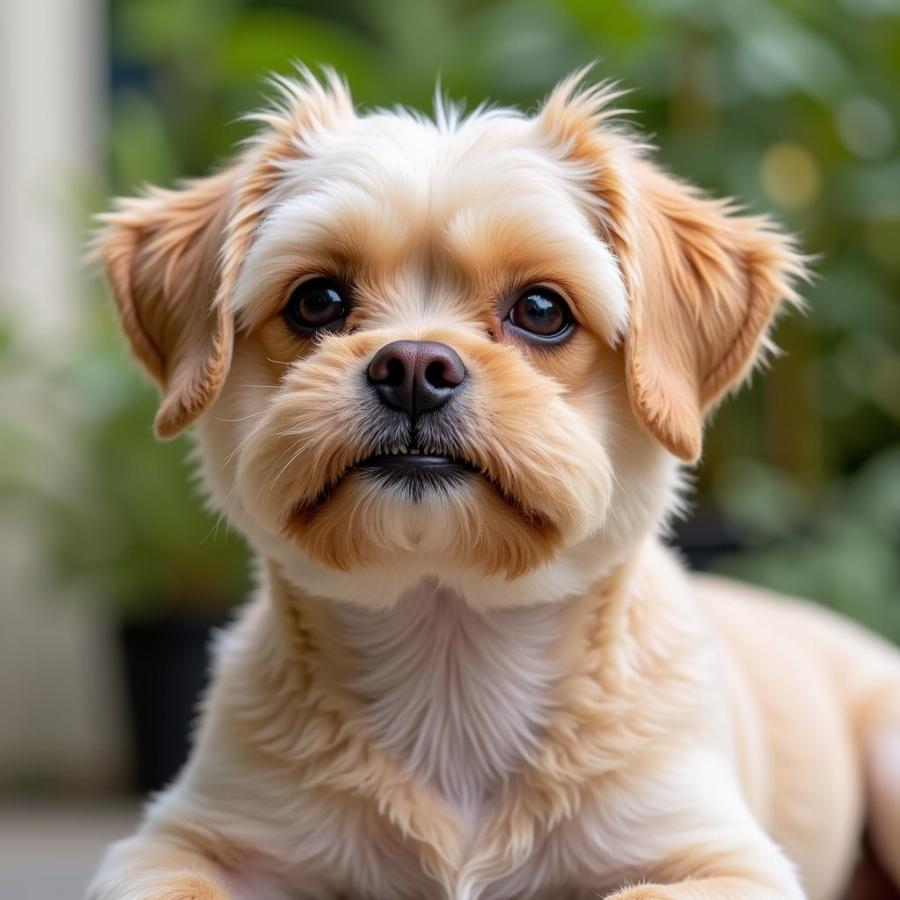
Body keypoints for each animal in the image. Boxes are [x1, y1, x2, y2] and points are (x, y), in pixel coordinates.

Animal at [86, 68, 900, 900]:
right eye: (317, 300)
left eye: (541, 309)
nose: (413, 365)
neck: (450, 656)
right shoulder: (176, 843)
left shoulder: (727, 860)